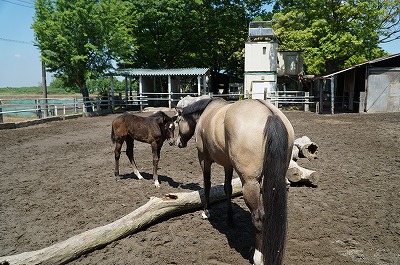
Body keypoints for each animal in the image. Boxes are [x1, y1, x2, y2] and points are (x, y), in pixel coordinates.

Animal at [175, 97, 294, 264]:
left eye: (178, 121)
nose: (177, 142)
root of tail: (271, 115)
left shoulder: (204, 159)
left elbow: (207, 185)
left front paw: (206, 211)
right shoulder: (228, 165)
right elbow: (227, 188)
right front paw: (230, 219)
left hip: (250, 183)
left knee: (258, 217)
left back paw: (258, 256)